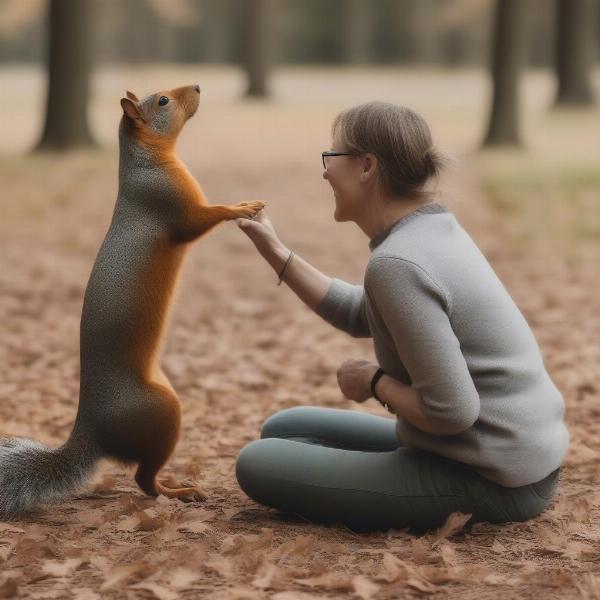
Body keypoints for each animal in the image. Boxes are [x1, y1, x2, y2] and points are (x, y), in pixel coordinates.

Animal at [0, 84, 268, 516]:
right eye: (162, 101)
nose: (196, 86)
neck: (149, 162)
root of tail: (91, 430)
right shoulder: (173, 205)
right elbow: (202, 217)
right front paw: (243, 206)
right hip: (162, 413)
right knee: (144, 479)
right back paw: (181, 492)